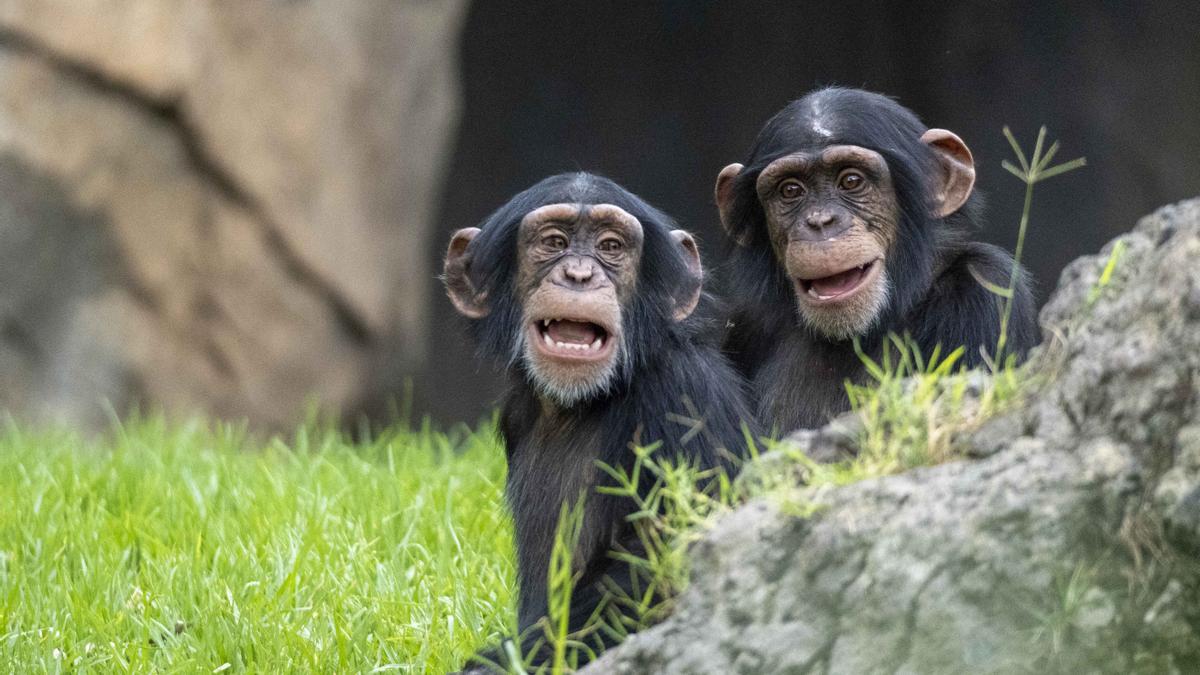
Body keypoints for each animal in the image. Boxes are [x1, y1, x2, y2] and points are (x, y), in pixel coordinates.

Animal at [444, 169, 758, 667]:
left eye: (611, 246)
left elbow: (676, 557)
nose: (579, 274)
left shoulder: (687, 396)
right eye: (553, 242)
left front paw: (496, 663)